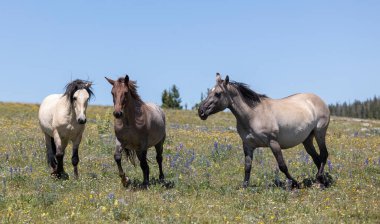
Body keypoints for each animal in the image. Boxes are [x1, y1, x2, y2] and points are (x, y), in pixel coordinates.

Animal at [199, 73, 330, 187]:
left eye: (218, 93)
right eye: (209, 92)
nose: (201, 111)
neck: (253, 115)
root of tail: (319, 100)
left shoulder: (273, 143)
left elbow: (282, 165)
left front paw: (295, 183)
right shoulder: (247, 145)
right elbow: (247, 167)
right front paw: (244, 187)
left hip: (320, 132)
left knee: (324, 154)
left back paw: (320, 178)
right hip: (307, 139)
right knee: (316, 158)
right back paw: (322, 180)